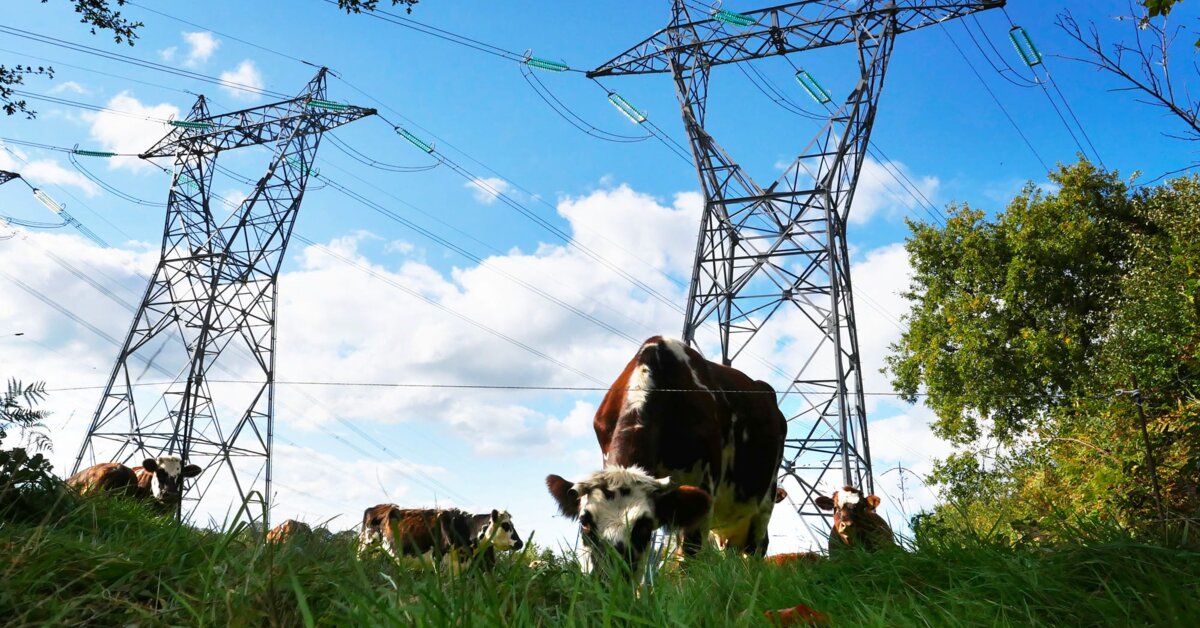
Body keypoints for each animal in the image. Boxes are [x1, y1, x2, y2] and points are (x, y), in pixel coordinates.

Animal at [544, 336, 787, 578]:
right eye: (585, 523)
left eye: (643, 526)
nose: (608, 580)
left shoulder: (704, 485)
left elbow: (690, 555)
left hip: (766, 499)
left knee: (756, 547)